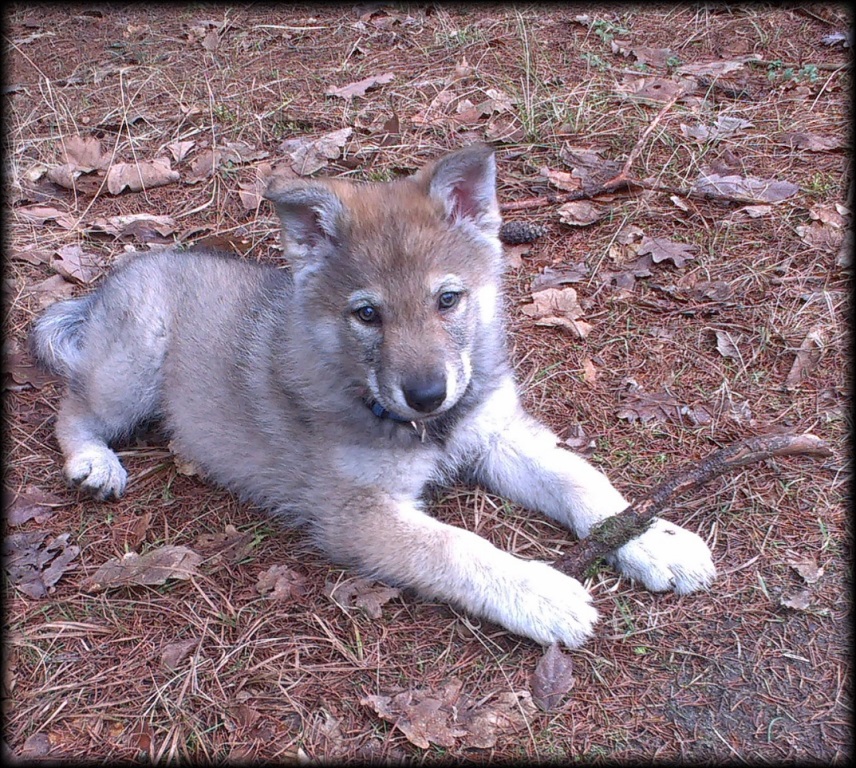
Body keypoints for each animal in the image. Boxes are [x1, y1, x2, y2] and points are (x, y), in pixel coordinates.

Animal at [28, 146, 716, 648]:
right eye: (367, 314)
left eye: (448, 299)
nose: (428, 394)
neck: (423, 428)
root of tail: (113, 281)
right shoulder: (358, 513)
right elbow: (457, 548)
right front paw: (538, 592)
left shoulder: (497, 437)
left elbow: (582, 482)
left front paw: (655, 539)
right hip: (132, 367)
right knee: (71, 409)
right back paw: (93, 462)